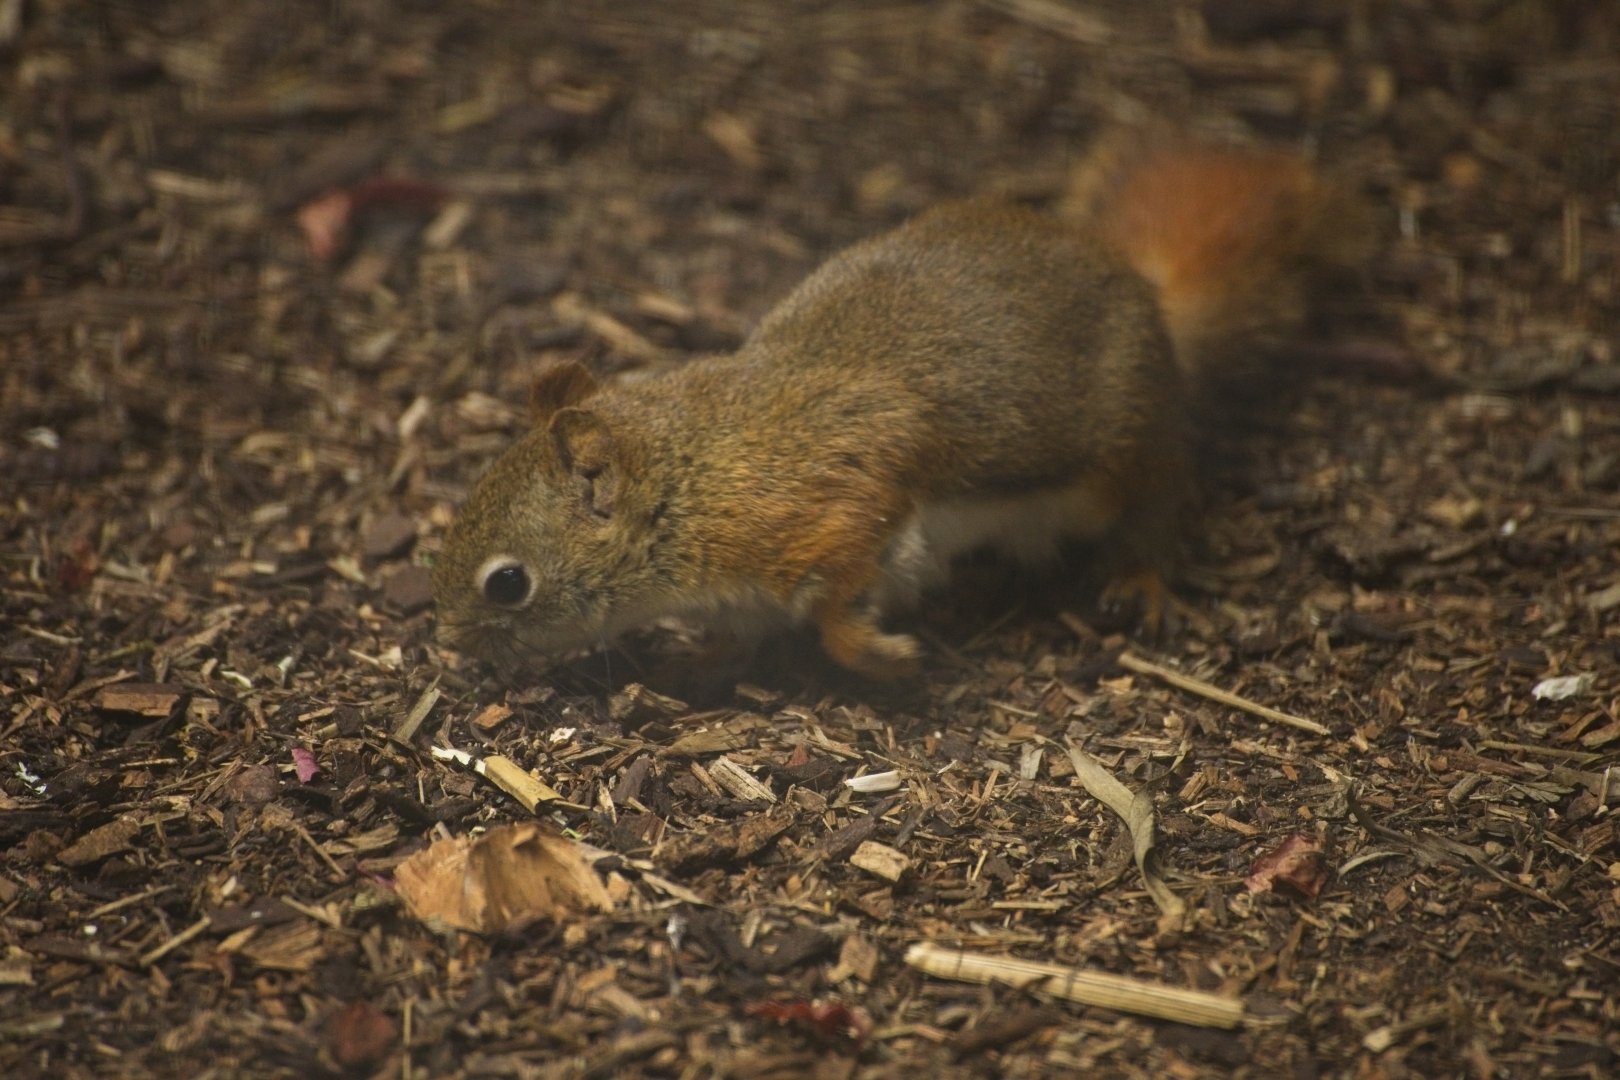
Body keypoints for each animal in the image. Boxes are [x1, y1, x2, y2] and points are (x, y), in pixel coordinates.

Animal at [431, 137, 1369, 678]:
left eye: (507, 582)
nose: (450, 646)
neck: (691, 483)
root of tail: (1150, 298)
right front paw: (716, 650)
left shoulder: (837, 494)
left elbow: (835, 602)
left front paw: (880, 654)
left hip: (1124, 452)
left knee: (1158, 503)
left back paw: (1141, 575)